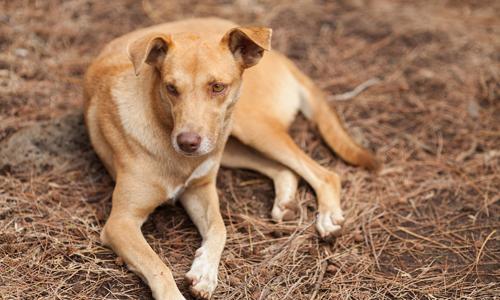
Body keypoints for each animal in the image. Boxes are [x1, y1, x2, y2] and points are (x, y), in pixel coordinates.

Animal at [83, 18, 378, 300]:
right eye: (171, 88)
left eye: (217, 87)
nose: (187, 142)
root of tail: (282, 57)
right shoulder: (121, 222)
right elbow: (159, 265)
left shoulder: (200, 189)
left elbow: (219, 227)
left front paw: (205, 271)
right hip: (234, 143)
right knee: (285, 170)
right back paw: (286, 203)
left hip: (249, 127)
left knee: (325, 174)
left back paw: (328, 217)